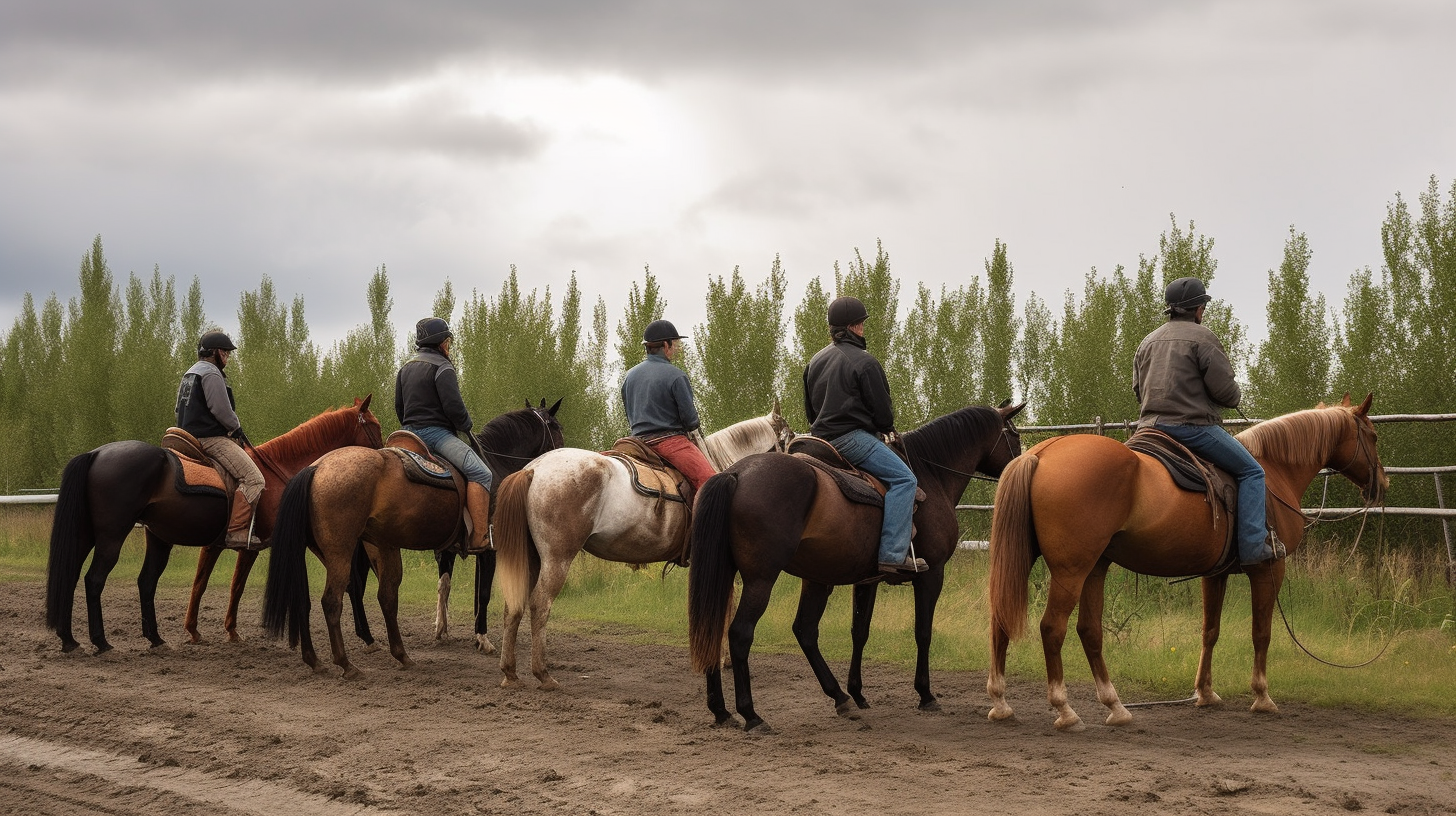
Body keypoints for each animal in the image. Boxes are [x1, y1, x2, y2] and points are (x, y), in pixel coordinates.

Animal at [45, 399, 384, 652]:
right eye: (375, 426)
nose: (381, 456)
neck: (279, 474)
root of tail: (95, 453)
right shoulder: (270, 544)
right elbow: (348, 582)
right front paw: (365, 635)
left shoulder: (221, 546)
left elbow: (209, 584)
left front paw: (208, 631)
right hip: (111, 537)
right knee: (94, 579)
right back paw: (101, 642)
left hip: (129, 537)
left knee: (103, 577)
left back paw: (85, 639)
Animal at [262, 405, 562, 679]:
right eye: (556, 427)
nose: (559, 454)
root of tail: (316, 467)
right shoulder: (489, 550)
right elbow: (483, 594)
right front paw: (482, 638)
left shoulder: (447, 551)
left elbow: (446, 587)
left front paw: (444, 631)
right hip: (342, 552)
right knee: (333, 600)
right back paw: (347, 664)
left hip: (355, 549)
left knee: (348, 596)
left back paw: (329, 658)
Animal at [497, 402, 797, 687]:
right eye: (790, 439)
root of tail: (533, 469)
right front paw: (722, 659)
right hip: (557, 558)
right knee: (540, 604)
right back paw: (543, 674)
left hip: (532, 558)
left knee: (513, 603)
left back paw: (510, 672)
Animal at [687, 402, 1030, 734]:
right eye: (1014, 435)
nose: (1019, 466)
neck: (931, 475)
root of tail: (735, 474)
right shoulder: (932, 574)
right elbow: (923, 632)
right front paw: (925, 694)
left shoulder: (867, 580)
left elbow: (859, 632)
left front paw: (858, 692)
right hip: (761, 579)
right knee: (741, 633)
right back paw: (752, 715)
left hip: (781, 577)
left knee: (780, 630)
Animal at [990, 396, 1386, 734]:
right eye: (1373, 436)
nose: (1381, 485)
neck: (1275, 472)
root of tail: (1041, 453)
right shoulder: (1268, 570)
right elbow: (1262, 633)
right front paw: (1261, 696)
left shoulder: (1215, 574)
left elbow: (1209, 631)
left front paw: (1205, 693)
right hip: (1072, 570)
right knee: (1052, 628)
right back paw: (1065, 710)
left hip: (1083, 566)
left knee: (1046, 626)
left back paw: (1029, 703)